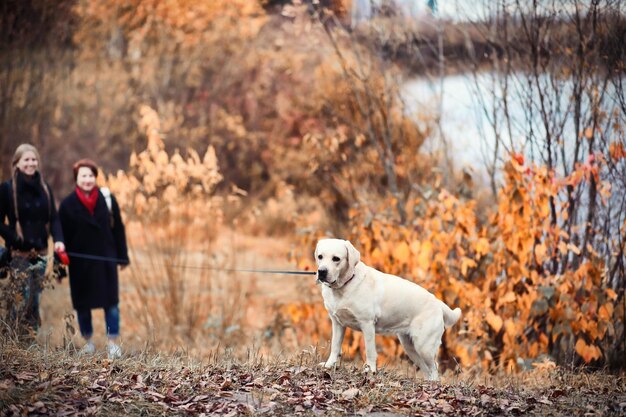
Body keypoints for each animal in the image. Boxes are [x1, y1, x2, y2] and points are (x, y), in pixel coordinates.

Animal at [314, 237, 460, 380]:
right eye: (320, 256)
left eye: (336, 258)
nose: (321, 272)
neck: (345, 285)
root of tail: (438, 303)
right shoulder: (337, 323)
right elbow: (335, 346)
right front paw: (328, 365)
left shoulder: (367, 323)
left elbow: (370, 351)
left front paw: (370, 371)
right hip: (410, 346)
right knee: (426, 369)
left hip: (424, 346)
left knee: (434, 368)